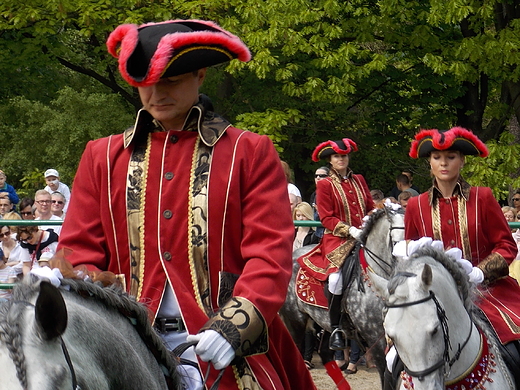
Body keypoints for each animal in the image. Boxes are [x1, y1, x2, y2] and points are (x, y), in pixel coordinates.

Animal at [280, 206, 406, 386]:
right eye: (396, 243)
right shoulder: (374, 336)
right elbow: (386, 374)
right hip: (295, 320)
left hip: (323, 321)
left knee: (325, 353)